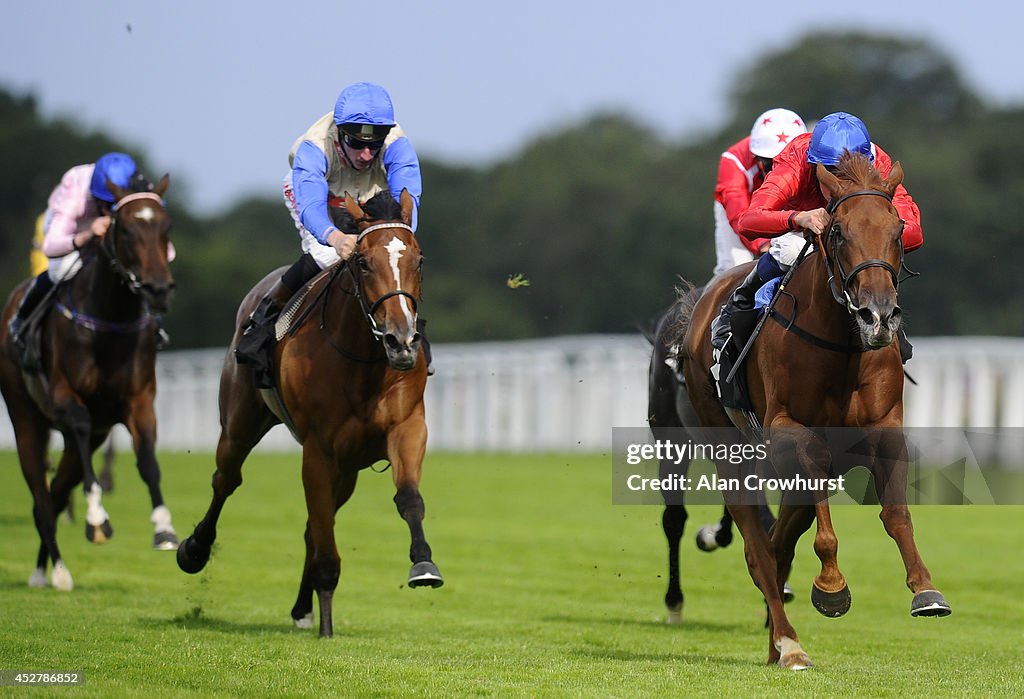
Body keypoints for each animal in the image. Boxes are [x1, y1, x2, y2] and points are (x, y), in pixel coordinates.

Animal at [0, 173, 178, 589]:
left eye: (166, 227)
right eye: (125, 228)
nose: (158, 289)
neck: (110, 319)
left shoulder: (139, 401)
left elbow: (148, 461)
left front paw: (163, 528)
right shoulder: (67, 398)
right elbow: (80, 429)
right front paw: (97, 519)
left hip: (93, 431)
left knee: (55, 493)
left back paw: (43, 568)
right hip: (26, 418)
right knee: (41, 494)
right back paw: (57, 571)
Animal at [176, 188, 440, 638]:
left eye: (418, 260)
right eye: (363, 262)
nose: (401, 341)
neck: (363, 361)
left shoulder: (406, 428)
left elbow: (408, 498)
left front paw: (423, 564)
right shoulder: (317, 450)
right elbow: (324, 539)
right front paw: (327, 624)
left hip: (348, 470)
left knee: (313, 525)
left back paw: (302, 608)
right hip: (240, 424)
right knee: (226, 480)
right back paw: (194, 550)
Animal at [675, 154, 946, 671]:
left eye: (899, 228)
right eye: (837, 231)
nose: (878, 317)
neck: (842, 344)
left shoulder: (885, 428)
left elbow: (896, 513)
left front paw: (926, 590)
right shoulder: (787, 429)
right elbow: (816, 501)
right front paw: (832, 587)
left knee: (778, 542)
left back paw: (776, 644)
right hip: (727, 447)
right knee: (759, 550)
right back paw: (789, 644)